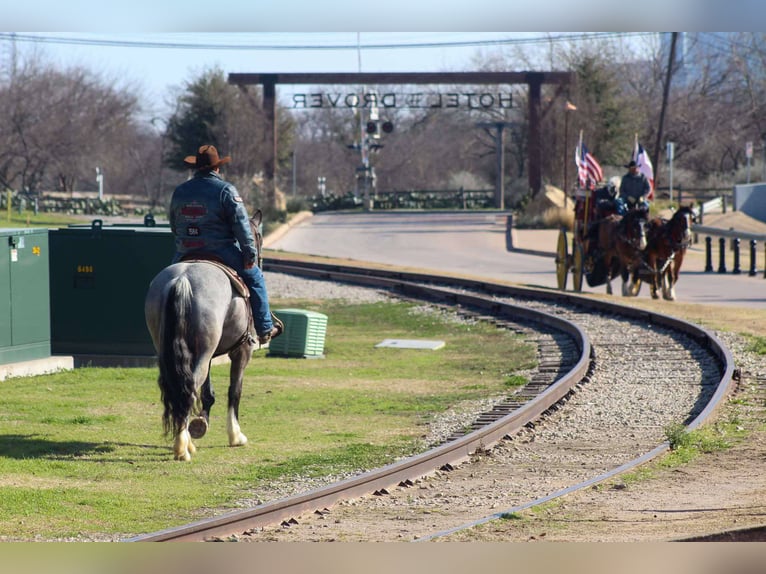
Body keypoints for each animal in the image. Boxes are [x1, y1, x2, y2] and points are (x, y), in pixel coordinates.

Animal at [144, 211, 264, 461]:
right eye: (258, 237)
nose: (256, 260)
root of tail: (182, 280)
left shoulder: (208, 354)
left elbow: (208, 391)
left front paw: (201, 422)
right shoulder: (242, 351)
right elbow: (234, 391)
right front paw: (235, 436)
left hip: (173, 350)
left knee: (179, 387)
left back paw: (185, 440)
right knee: (189, 389)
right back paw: (182, 448)